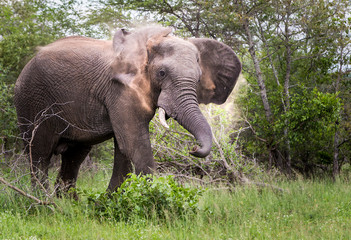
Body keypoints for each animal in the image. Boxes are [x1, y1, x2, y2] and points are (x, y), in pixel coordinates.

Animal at [14, 25, 242, 195]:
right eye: (161, 73)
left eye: (198, 78)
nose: (193, 149)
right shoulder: (119, 90)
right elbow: (134, 143)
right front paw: (149, 199)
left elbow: (124, 149)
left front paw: (109, 201)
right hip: (32, 101)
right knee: (39, 153)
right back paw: (43, 203)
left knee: (74, 156)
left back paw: (68, 204)